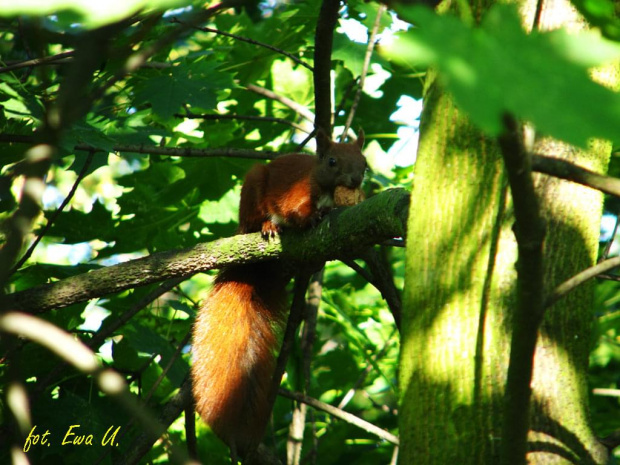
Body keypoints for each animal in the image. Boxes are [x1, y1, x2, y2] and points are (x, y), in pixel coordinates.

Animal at [191, 129, 366, 458]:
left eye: (364, 162)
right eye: (332, 160)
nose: (354, 180)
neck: (325, 188)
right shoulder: (295, 195)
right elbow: (296, 212)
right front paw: (311, 217)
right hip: (253, 190)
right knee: (257, 217)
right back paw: (267, 226)